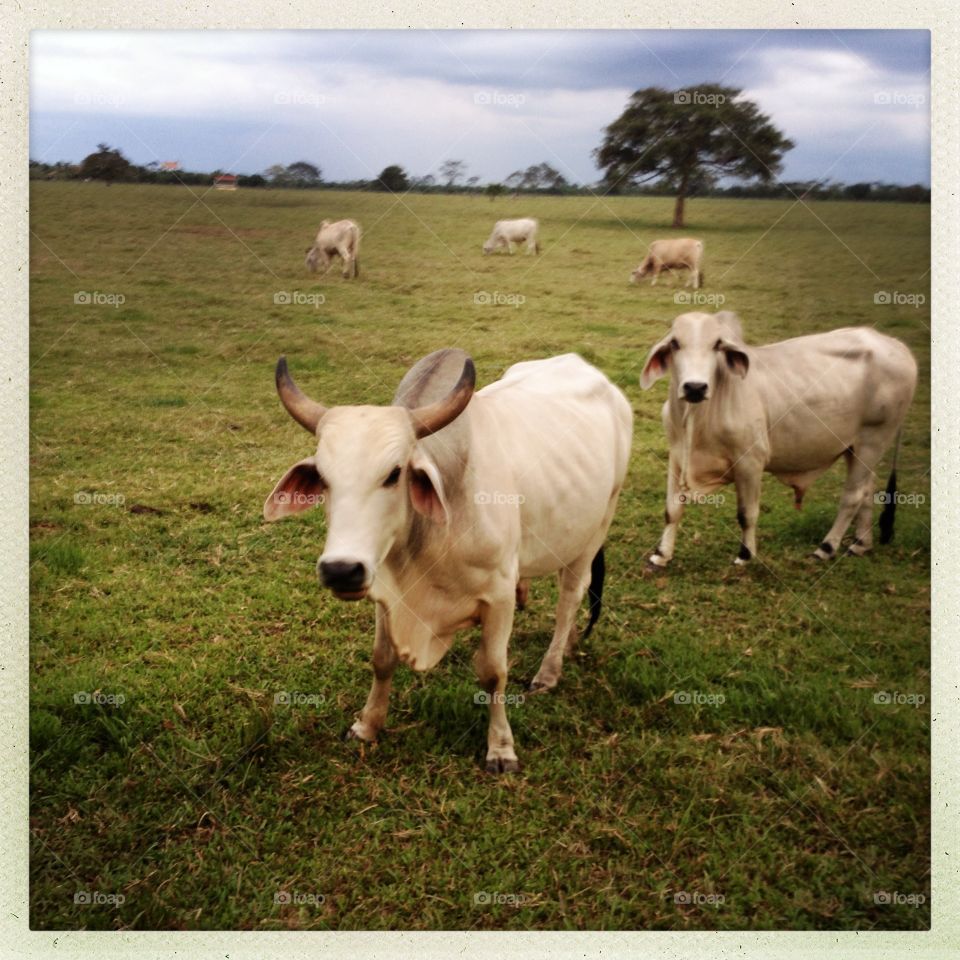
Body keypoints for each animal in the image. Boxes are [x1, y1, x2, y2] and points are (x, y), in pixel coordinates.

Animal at [263, 348, 633, 773]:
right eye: (323, 478)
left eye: (394, 473)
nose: (341, 570)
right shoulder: (386, 591)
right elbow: (382, 659)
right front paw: (367, 725)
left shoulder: (498, 597)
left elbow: (493, 673)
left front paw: (501, 748)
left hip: (598, 525)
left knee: (570, 598)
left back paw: (550, 669)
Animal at [640, 311, 917, 567]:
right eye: (675, 343)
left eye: (717, 344)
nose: (695, 387)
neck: (697, 418)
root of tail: (896, 345)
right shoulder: (677, 458)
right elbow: (672, 509)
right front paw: (661, 555)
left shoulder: (750, 462)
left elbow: (747, 514)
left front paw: (745, 555)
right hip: (855, 447)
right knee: (868, 488)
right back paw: (861, 544)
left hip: (873, 438)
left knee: (853, 496)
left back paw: (826, 548)